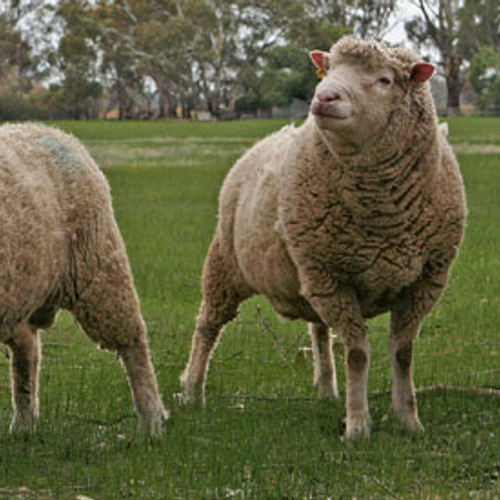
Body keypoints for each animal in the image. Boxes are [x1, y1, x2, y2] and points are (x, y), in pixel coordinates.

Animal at [0, 123, 168, 436]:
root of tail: (58, 132)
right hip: (20, 292)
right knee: (27, 350)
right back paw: (24, 424)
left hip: (100, 270)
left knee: (134, 342)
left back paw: (151, 421)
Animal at [181, 37, 468, 440]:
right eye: (327, 70)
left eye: (384, 80)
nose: (324, 96)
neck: (384, 218)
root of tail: (270, 137)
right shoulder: (334, 278)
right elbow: (358, 354)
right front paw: (358, 426)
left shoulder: (423, 281)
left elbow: (403, 353)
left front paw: (408, 421)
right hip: (228, 262)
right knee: (208, 323)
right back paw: (192, 390)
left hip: (309, 272)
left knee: (318, 329)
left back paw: (327, 388)